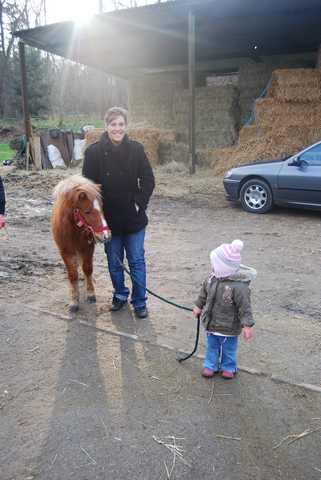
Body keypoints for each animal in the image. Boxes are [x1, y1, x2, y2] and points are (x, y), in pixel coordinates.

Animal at [50, 174, 109, 314]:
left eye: (102, 208)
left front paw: (91, 294)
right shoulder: (65, 252)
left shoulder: (87, 248)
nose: (106, 236)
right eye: (87, 211)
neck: (73, 230)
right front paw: (74, 301)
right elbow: (72, 275)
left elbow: (88, 269)